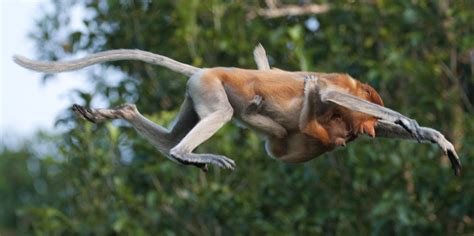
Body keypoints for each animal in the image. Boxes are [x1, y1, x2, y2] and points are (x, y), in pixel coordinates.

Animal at [12, 45, 462, 176]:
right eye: (367, 121)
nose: (363, 132)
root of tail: (204, 70)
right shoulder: (336, 92)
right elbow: (327, 93)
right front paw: (407, 121)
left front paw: (435, 138)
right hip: (210, 89)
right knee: (216, 118)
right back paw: (189, 155)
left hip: (194, 94)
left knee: (175, 132)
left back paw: (122, 112)